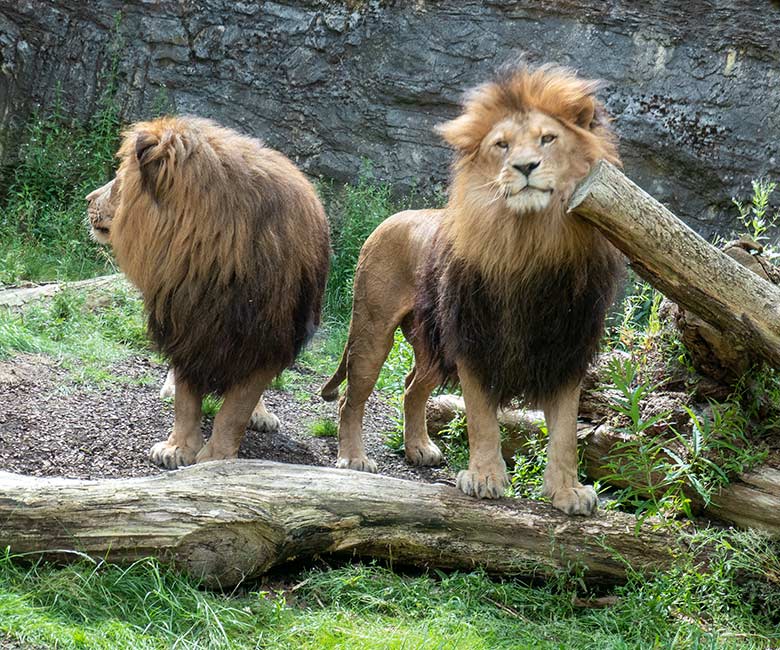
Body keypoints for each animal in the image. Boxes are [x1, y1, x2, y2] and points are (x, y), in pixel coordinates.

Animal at [87, 112, 330, 466]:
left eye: (118, 179)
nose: (88, 200)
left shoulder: (267, 341)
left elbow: (236, 409)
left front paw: (217, 457)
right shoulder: (186, 324)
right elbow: (187, 401)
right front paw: (177, 449)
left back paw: (261, 415)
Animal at [320, 64, 624, 512]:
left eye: (548, 139)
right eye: (502, 145)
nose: (525, 166)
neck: (530, 244)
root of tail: (390, 219)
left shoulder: (566, 348)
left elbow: (567, 431)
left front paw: (568, 492)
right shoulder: (474, 341)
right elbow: (481, 418)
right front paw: (484, 478)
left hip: (431, 345)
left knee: (411, 388)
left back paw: (419, 448)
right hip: (372, 331)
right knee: (350, 398)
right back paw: (353, 458)